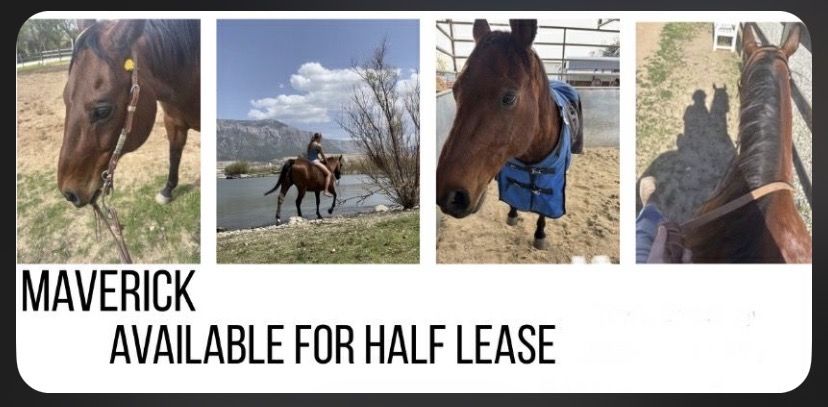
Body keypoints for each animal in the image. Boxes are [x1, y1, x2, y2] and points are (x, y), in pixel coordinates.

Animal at [57, 19, 200, 209]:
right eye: (65, 98)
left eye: (102, 111)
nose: (69, 194)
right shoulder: (173, 122)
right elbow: (174, 154)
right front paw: (167, 190)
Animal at [436, 19, 583, 250]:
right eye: (455, 91)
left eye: (509, 98)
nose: (449, 196)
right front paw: (512, 215)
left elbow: (543, 212)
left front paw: (540, 234)